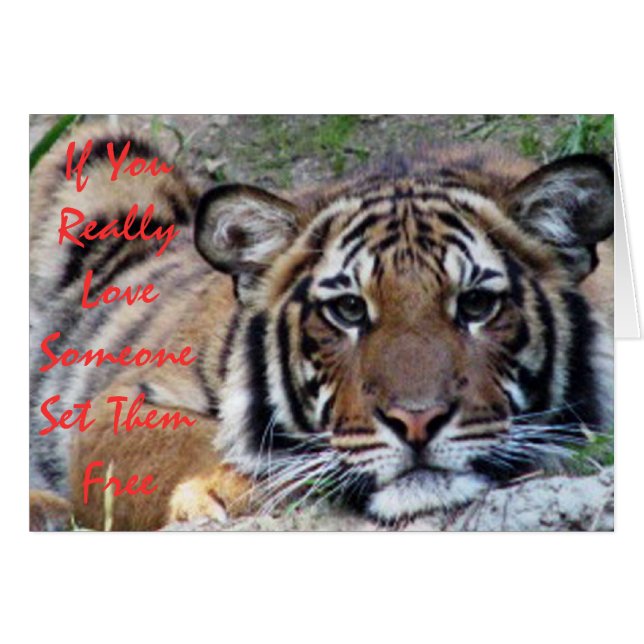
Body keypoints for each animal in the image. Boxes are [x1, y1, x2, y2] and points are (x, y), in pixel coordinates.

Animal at [29, 120, 614, 530]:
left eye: (475, 305)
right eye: (349, 310)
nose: (418, 422)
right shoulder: (123, 400)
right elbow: (182, 444)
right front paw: (223, 490)